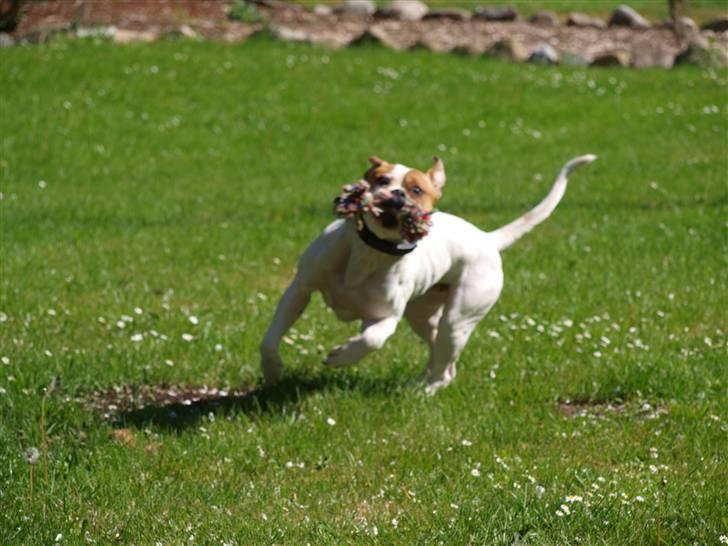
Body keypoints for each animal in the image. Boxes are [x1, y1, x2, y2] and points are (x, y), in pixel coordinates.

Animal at [262, 153, 596, 392]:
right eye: (381, 179)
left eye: (416, 189)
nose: (396, 194)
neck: (370, 254)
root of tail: (487, 239)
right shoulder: (300, 289)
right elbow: (270, 338)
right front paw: (273, 371)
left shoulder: (385, 317)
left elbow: (371, 340)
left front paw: (341, 356)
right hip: (424, 316)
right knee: (442, 358)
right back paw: (423, 380)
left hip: (457, 320)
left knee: (444, 364)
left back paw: (424, 391)